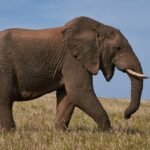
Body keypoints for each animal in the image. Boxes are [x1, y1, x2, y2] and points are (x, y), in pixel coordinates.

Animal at [0, 16, 148, 131]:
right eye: (117, 48)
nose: (126, 116)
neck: (98, 27)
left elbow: (68, 95)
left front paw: (60, 133)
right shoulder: (73, 60)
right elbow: (79, 92)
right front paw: (109, 133)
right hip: (4, 68)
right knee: (5, 99)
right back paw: (10, 132)